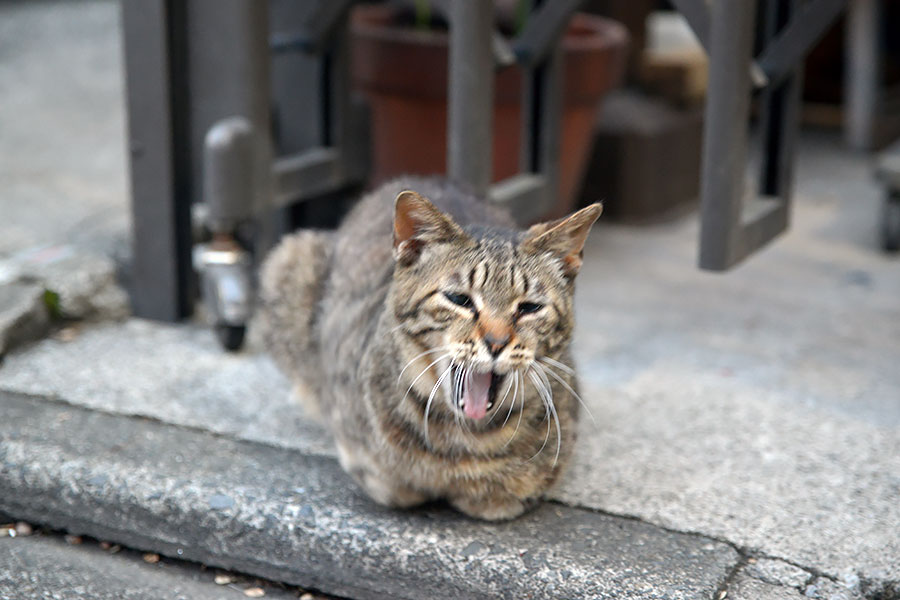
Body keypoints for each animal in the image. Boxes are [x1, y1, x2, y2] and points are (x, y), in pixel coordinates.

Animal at [258, 178, 596, 520]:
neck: (465, 439)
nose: (496, 342)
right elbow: (395, 486)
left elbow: (507, 494)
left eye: (529, 308)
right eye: (459, 299)